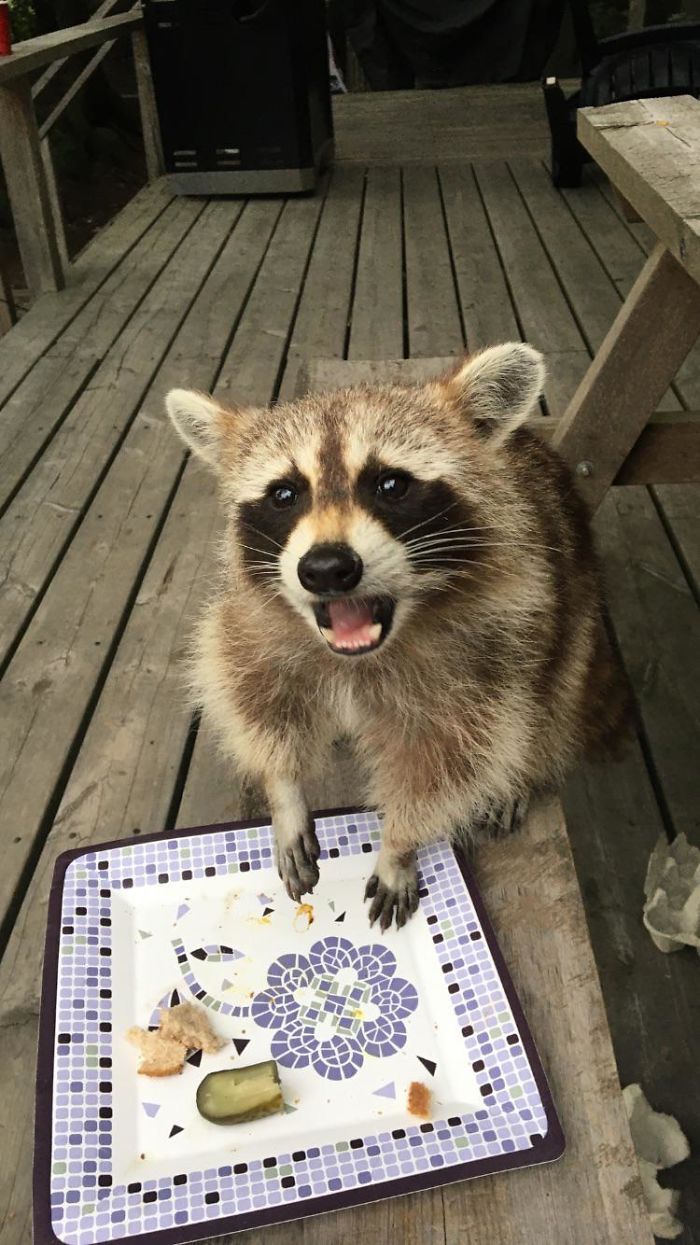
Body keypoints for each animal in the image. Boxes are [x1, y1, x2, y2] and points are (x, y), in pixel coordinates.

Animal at [166, 343, 626, 930]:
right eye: (284, 494)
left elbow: (443, 767)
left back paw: (523, 768)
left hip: (571, 606)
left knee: (548, 695)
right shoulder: (254, 625)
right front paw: (283, 791)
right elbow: (255, 702)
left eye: (390, 484)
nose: (326, 568)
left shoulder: (480, 661)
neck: (357, 655)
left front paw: (398, 845)